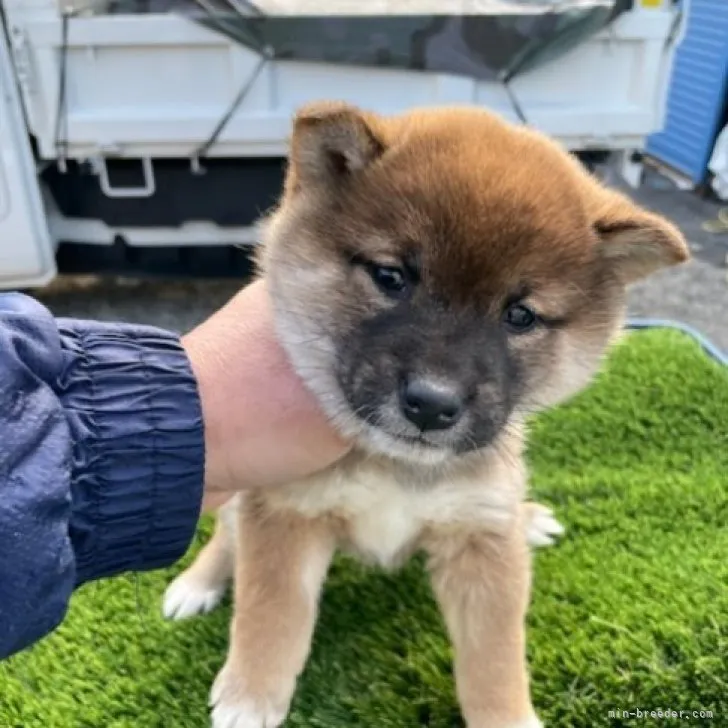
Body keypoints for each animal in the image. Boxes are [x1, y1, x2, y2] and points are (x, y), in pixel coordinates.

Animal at [164, 102, 688, 728]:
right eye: (391, 277)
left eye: (520, 315)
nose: (433, 404)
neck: (396, 468)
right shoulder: (286, 511)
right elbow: (271, 615)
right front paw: (250, 696)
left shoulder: (482, 541)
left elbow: (494, 661)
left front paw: (509, 717)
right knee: (227, 536)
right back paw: (196, 584)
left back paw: (531, 518)